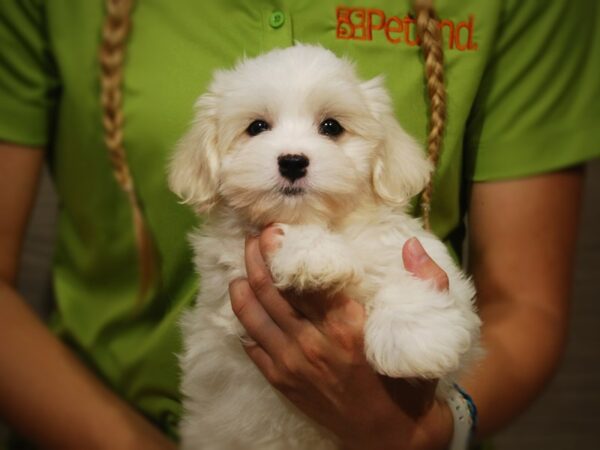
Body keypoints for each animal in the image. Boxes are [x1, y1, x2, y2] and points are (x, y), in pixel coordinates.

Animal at [170, 43, 482, 450]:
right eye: (256, 127)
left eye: (331, 127)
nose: (292, 161)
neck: (333, 224)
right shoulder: (226, 285)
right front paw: (314, 258)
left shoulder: (421, 257)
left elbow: (411, 272)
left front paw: (414, 339)